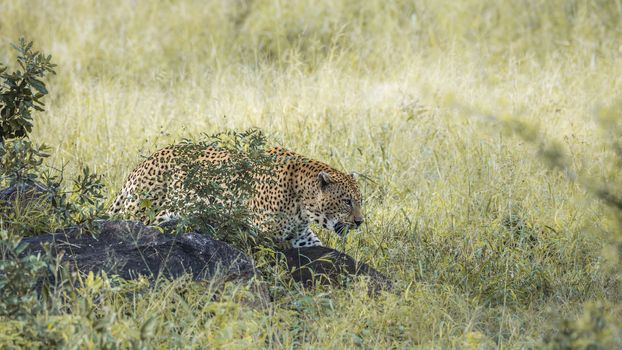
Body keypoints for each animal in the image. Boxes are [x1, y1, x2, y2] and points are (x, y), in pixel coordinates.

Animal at [110, 144, 368, 247]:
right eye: (347, 202)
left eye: (360, 201)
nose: (360, 222)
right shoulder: (265, 235)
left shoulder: (301, 236)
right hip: (144, 210)